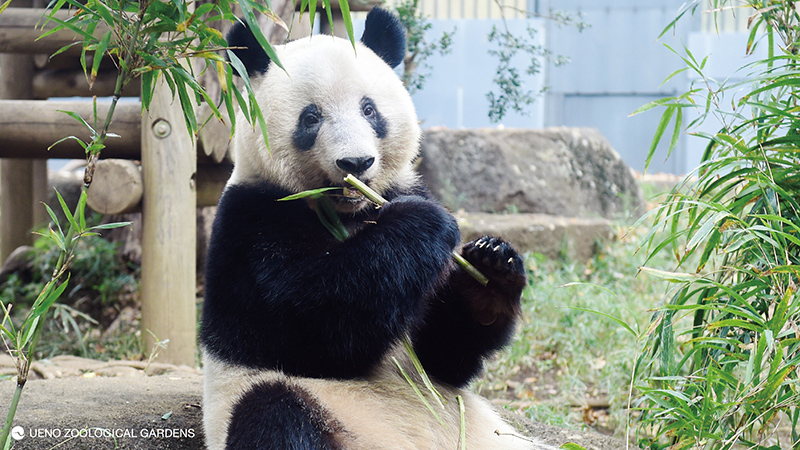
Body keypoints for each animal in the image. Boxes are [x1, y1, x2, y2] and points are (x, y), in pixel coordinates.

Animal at [202, 7, 556, 450]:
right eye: (311, 117)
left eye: (369, 110)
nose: (356, 163)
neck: (349, 212)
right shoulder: (252, 222)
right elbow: (311, 327)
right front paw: (422, 223)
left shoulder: (404, 187)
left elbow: (444, 352)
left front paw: (490, 266)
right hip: (306, 405)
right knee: (275, 413)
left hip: (490, 436)